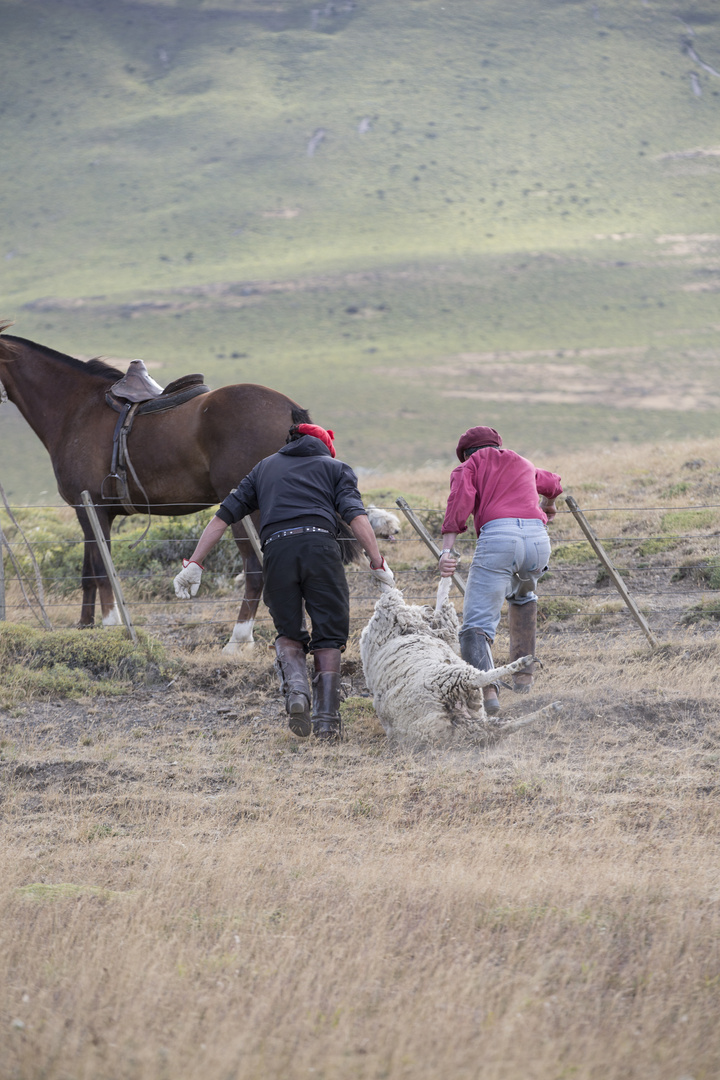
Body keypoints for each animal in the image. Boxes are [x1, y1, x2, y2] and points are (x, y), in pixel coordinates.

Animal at [0, 324, 336, 648]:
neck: (75, 408)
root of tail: (289, 409)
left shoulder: (92, 508)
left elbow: (101, 571)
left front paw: (111, 626)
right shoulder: (91, 513)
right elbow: (88, 574)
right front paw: (85, 627)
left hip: (244, 512)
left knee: (255, 568)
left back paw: (238, 640)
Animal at [360, 587, 561, 747]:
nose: (426, 607)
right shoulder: (433, 628)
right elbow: (444, 613)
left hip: (473, 721)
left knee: (499, 728)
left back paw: (549, 710)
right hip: (449, 679)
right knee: (479, 678)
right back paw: (522, 663)